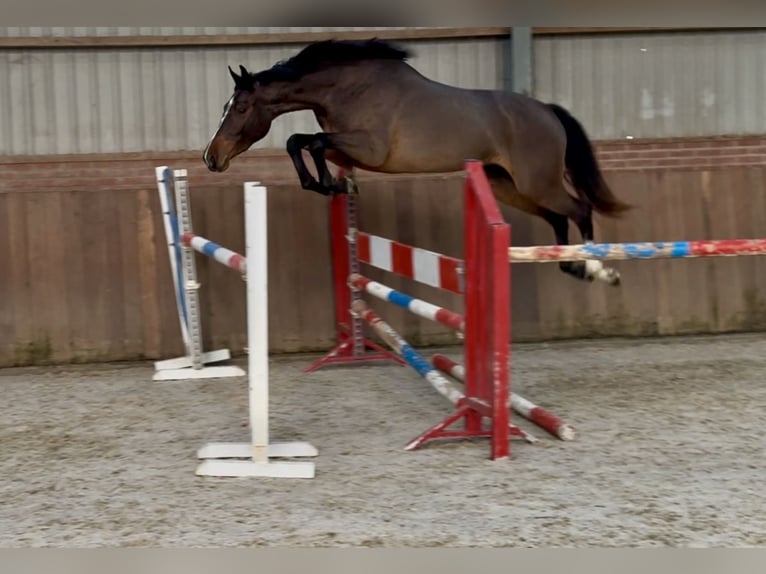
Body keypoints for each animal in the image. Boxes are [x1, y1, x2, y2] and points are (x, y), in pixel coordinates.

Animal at [203, 38, 631, 286]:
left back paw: (599, 269)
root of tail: (547, 110)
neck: (347, 87)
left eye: (240, 108)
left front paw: (329, 183)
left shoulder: (369, 148)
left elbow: (310, 143)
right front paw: (335, 185)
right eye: (225, 106)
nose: (211, 157)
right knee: (560, 216)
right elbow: (305, 143)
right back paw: (573, 266)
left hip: (536, 183)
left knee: (579, 208)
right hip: (507, 187)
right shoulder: (348, 149)